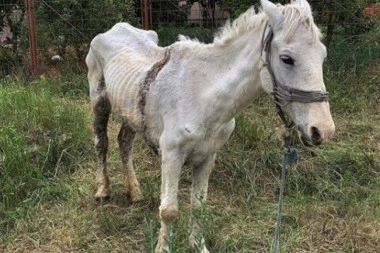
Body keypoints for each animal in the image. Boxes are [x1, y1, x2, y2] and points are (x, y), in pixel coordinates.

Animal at [86, 0, 336, 252]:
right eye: (286, 58)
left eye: (323, 55)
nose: (323, 130)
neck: (201, 94)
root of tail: (115, 28)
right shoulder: (171, 156)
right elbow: (168, 211)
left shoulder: (207, 156)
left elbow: (199, 206)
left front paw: (198, 246)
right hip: (99, 102)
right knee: (102, 143)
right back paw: (102, 190)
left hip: (130, 112)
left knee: (124, 141)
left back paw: (134, 192)